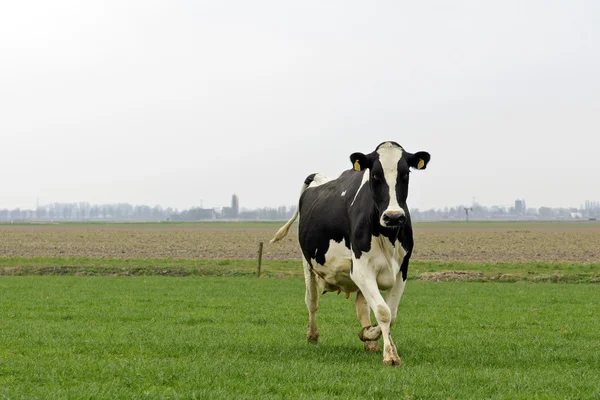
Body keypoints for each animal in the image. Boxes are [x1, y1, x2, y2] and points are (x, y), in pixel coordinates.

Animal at [272, 141, 432, 366]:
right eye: (375, 174)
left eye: (405, 173)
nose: (393, 216)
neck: (387, 235)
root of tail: (320, 179)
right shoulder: (361, 268)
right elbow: (383, 311)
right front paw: (389, 354)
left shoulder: (403, 269)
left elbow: (391, 313)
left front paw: (370, 335)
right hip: (307, 263)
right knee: (311, 301)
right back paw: (312, 335)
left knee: (361, 306)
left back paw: (370, 342)